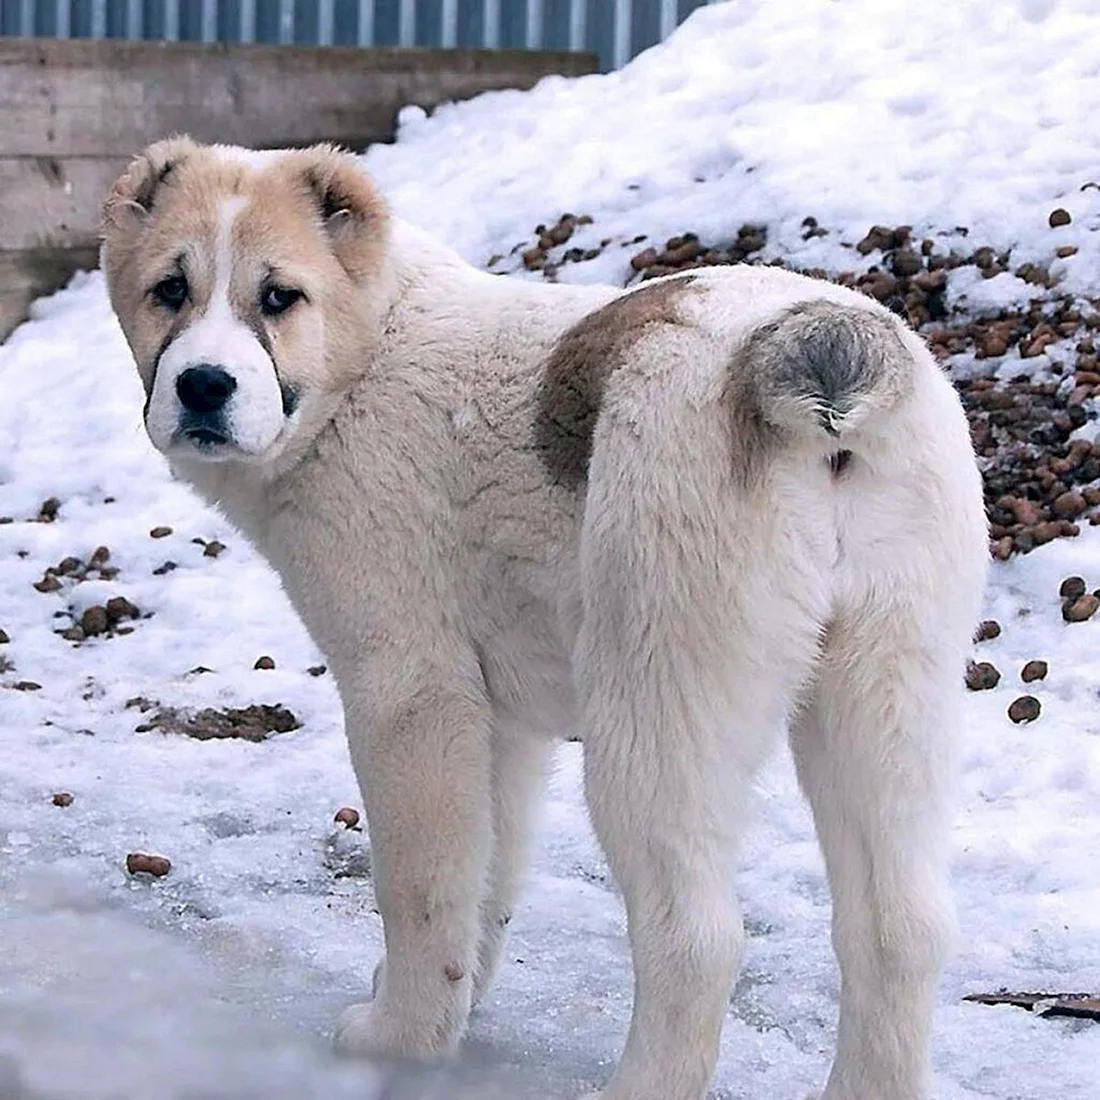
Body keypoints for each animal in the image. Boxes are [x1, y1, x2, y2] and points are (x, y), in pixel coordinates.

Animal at [101, 139, 990, 1100]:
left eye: (278, 297)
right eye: (169, 290)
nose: (203, 386)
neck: (370, 352)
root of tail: (803, 348)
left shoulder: (412, 693)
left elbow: (421, 885)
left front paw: (402, 1035)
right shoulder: (504, 723)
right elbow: (487, 875)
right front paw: (455, 1004)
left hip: (659, 706)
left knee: (696, 938)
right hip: (888, 688)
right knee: (902, 927)